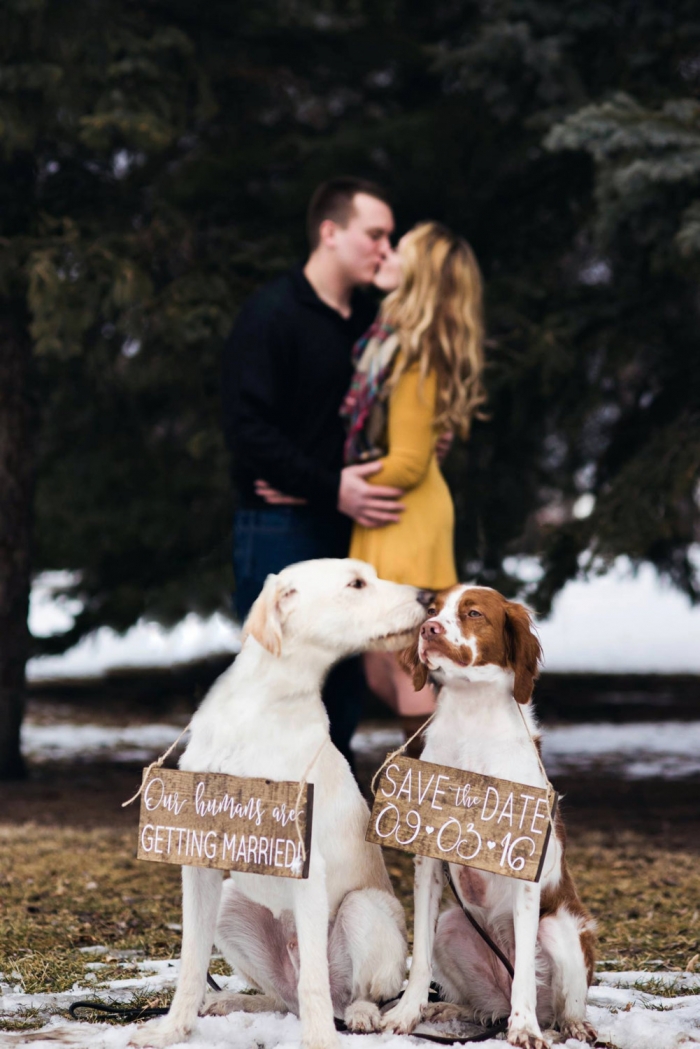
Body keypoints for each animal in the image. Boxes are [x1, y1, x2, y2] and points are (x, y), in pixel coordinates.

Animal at [129, 558, 430, 1049]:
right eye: (356, 583)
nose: (429, 597)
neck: (264, 705)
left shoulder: (305, 867)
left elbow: (314, 984)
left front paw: (320, 1042)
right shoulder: (199, 862)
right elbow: (192, 962)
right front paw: (173, 1029)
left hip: (364, 908)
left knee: (349, 992)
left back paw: (360, 1014)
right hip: (231, 904)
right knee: (283, 998)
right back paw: (232, 1003)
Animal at [379, 587, 596, 1044]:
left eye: (474, 613)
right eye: (432, 610)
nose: (429, 629)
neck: (471, 716)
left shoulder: (525, 871)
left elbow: (525, 973)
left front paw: (525, 1029)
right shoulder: (428, 862)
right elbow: (419, 957)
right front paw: (405, 1014)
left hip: (560, 930)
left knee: (558, 1004)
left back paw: (569, 1024)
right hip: (452, 925)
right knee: (481, 1004)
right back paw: (447, 1009)